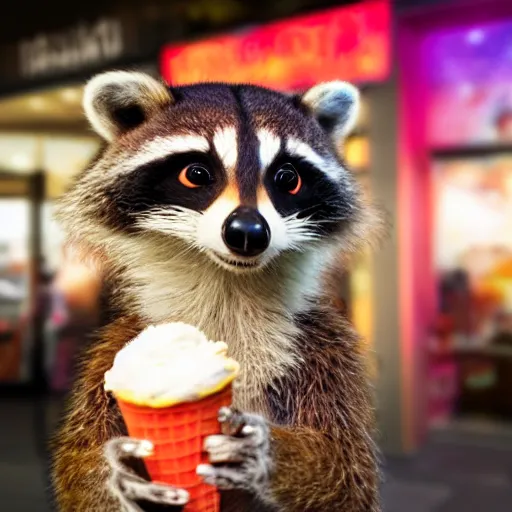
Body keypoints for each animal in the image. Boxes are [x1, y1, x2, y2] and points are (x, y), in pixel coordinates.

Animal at [51, 71, 380, 512]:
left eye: (288, 178)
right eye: (196, 174)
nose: (248, 232)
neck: (228, 285)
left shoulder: (324, 347)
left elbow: (349, 475)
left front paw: (270, 455)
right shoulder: (114, 350)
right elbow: (83, 482)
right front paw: (118, 472)